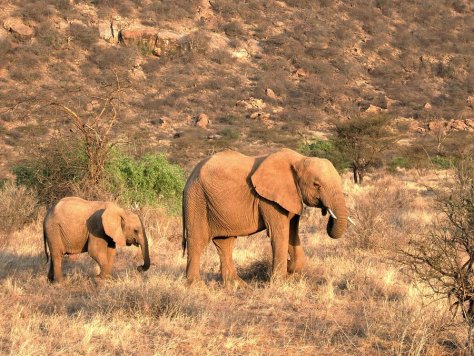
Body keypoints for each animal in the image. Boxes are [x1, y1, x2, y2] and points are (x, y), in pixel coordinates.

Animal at [182, 147, 352, 286]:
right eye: (317, 185)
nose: (326, 211)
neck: (299, 159)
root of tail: (190, 176)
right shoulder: (269, 200)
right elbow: (279, 233)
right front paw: (280, 281)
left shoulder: (291, 196)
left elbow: (292, 233)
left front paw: (289, 268)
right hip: (197, 199)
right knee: (198, 240)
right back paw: (196, 286)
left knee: (225, 243)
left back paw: (238, 285)